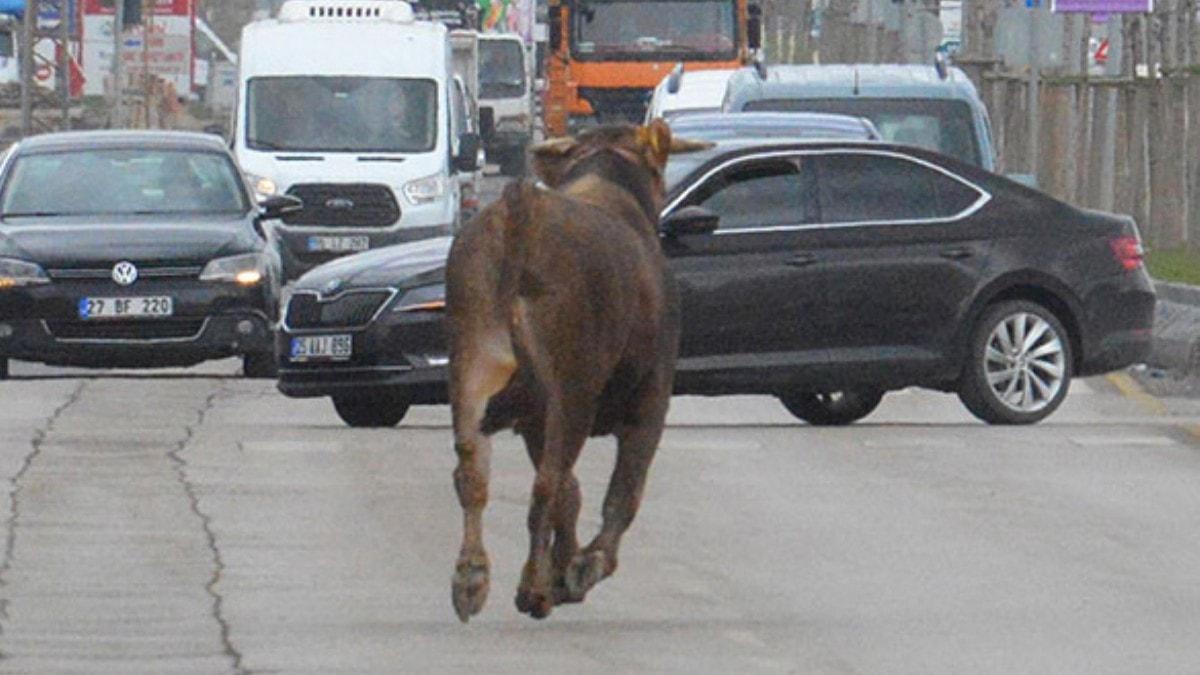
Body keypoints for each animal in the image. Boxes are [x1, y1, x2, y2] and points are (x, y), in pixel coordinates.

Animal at [446, 118, 700, 619]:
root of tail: (520, 209)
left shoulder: (530, 421)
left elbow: (573, 493)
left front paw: (565, 570)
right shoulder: (652, 398)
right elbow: (622, 492)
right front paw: (584, 566)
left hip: (474, 368)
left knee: (473, 475)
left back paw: (471, 580)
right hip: (572, 390)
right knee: (546, 483)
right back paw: (532, 588)